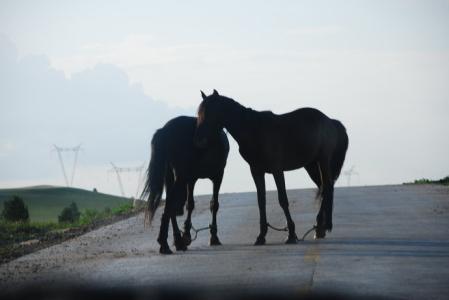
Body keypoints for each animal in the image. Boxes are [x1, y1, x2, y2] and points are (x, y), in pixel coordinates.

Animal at [142, 116, 229, 254]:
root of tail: (165, 130)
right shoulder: (218, 176)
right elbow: (214, 205)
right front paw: (214, 237)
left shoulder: (191, 179)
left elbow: (190, 204)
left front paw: (187, 233)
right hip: (181, 176)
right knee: (170, 204)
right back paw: (164, 244)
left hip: (171, 176)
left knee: (171, 206)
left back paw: (177, 241)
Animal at [194, 89, 348, 244]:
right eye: (199, 112)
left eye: (211, 112)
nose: (199, 139)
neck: (254, 130)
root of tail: (330, 121)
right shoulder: (256, 171)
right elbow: (261, 201)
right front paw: (261, 236)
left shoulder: (277, 170)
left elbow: (283, 200)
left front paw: (291, 234)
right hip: (311, 165)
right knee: (324, 188)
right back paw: (320, 228)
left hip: (323, 160)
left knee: (327, 187)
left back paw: (322, 226)